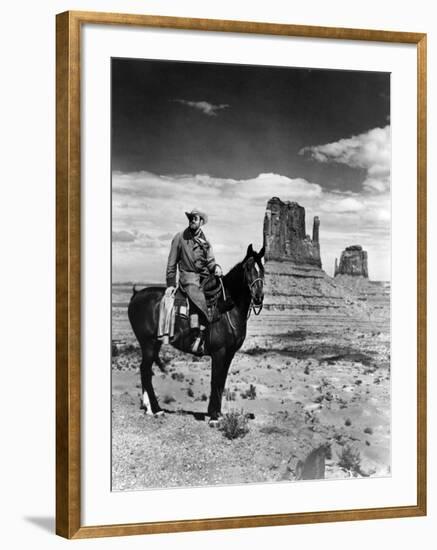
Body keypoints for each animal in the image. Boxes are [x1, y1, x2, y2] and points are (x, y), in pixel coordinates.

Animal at [126, 247, 262, 426]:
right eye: (248, 268)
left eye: (262, 268)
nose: (259, 297)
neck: (228, 309)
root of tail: (136, 295)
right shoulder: (219, 352)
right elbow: (215, 380)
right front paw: (213, 417)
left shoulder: (229, 354)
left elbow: (222, 381)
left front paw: (218, 413)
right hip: (147, 343)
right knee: (145, 372)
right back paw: (157, 410)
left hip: (154, 343)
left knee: (145, 371)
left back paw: (149, 408)